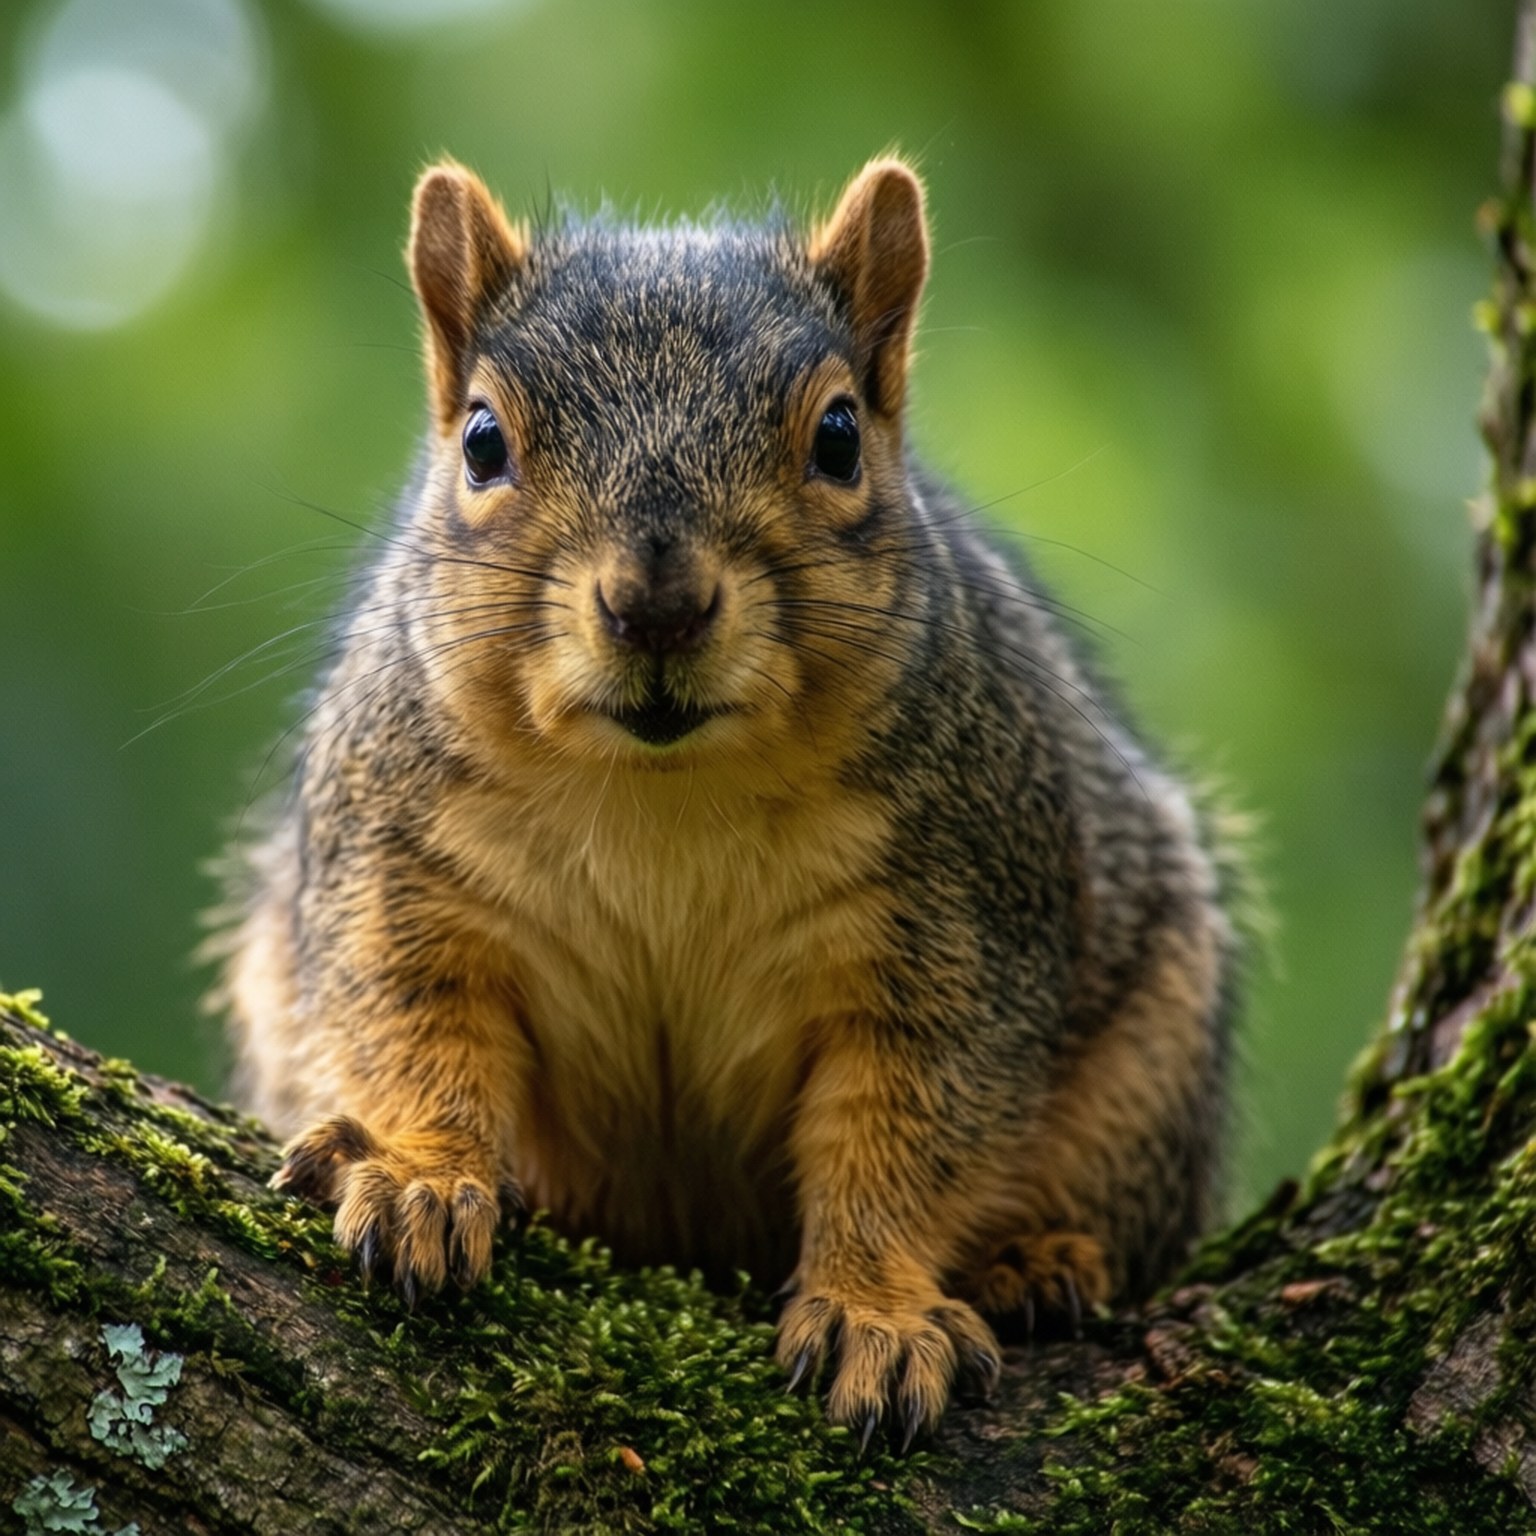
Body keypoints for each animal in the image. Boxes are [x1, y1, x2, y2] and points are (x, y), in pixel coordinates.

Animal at [212, 156, 1240, 1448]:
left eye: (841, 437)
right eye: (483, 441)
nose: (657, 604)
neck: (665, 796)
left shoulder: (962, 929)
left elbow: (912, 1135)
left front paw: (875, 1310)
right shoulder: (396, 877)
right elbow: (404, 1024)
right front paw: (413, 1170)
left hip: (1153, 1063)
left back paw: (1041, 1261)